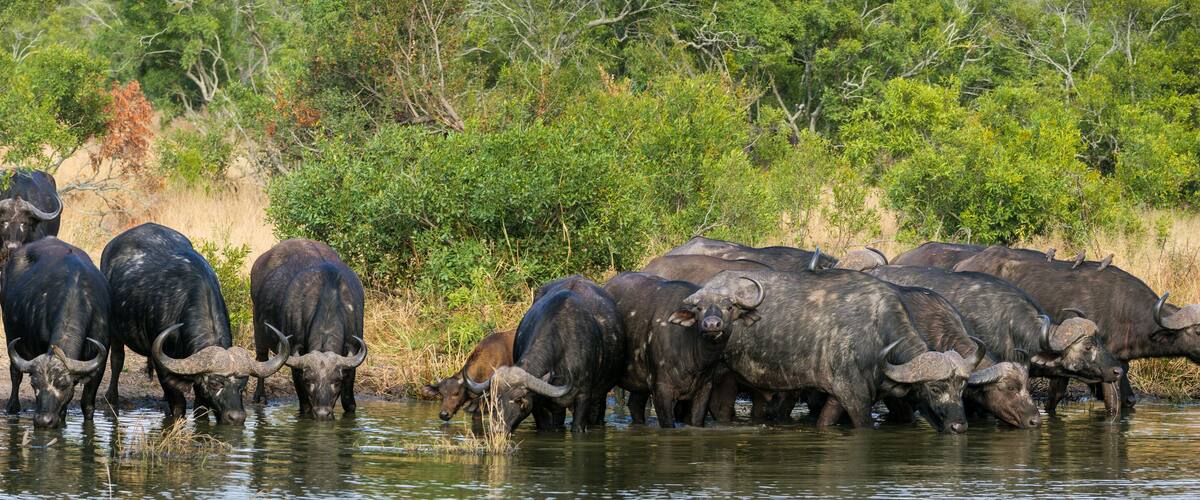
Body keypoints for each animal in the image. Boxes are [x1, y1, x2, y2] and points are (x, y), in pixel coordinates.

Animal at [3, 238, 108, 428]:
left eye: (63, 384)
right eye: (34, 384)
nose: (43, 420)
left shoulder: (100, 365)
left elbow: (88, 405)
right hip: (10, 331)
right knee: (15, 372)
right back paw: (12, 407)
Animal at [103, 223, 289, 424]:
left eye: (243, 385)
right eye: (215, 383)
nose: (236, 417)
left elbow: (201, 409)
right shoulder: (164, 369)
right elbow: (179, 405)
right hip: (115, 332)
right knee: (117, 360)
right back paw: (112, 400)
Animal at [250, 239, 367, 420]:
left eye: (336, 381)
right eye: (308, 381)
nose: (322, 413)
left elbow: (349, 403)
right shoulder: (296, 366)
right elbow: (304, 405)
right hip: (259, 332)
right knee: (262, 360)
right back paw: (260, 397)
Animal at [688, 269, 976, 432]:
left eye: (962, 388)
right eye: (935, 388)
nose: (959, 426)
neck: (877, 331)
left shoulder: (837, 397)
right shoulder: (855, 397)